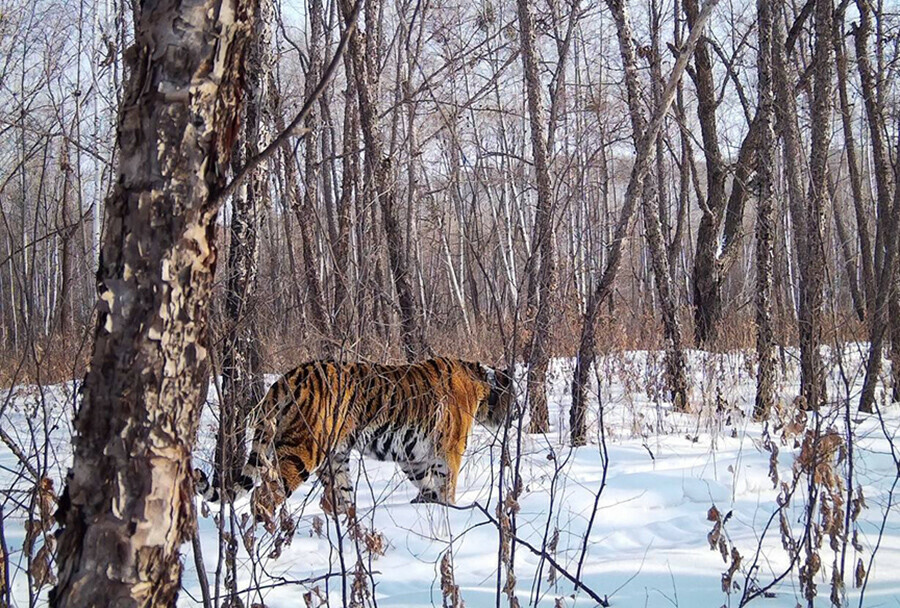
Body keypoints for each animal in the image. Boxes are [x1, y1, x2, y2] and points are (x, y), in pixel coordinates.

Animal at [196, 356, 516, 516]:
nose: (514, 417)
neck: (482, 385)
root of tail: (287, 378)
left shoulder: (413, 457)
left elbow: (428, 486)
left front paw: (427, 505)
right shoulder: (449, 450)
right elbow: (447, 485)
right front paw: (450, 511)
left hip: (335, 458)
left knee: (337, 497)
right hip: (302, 451)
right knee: (263, 497)